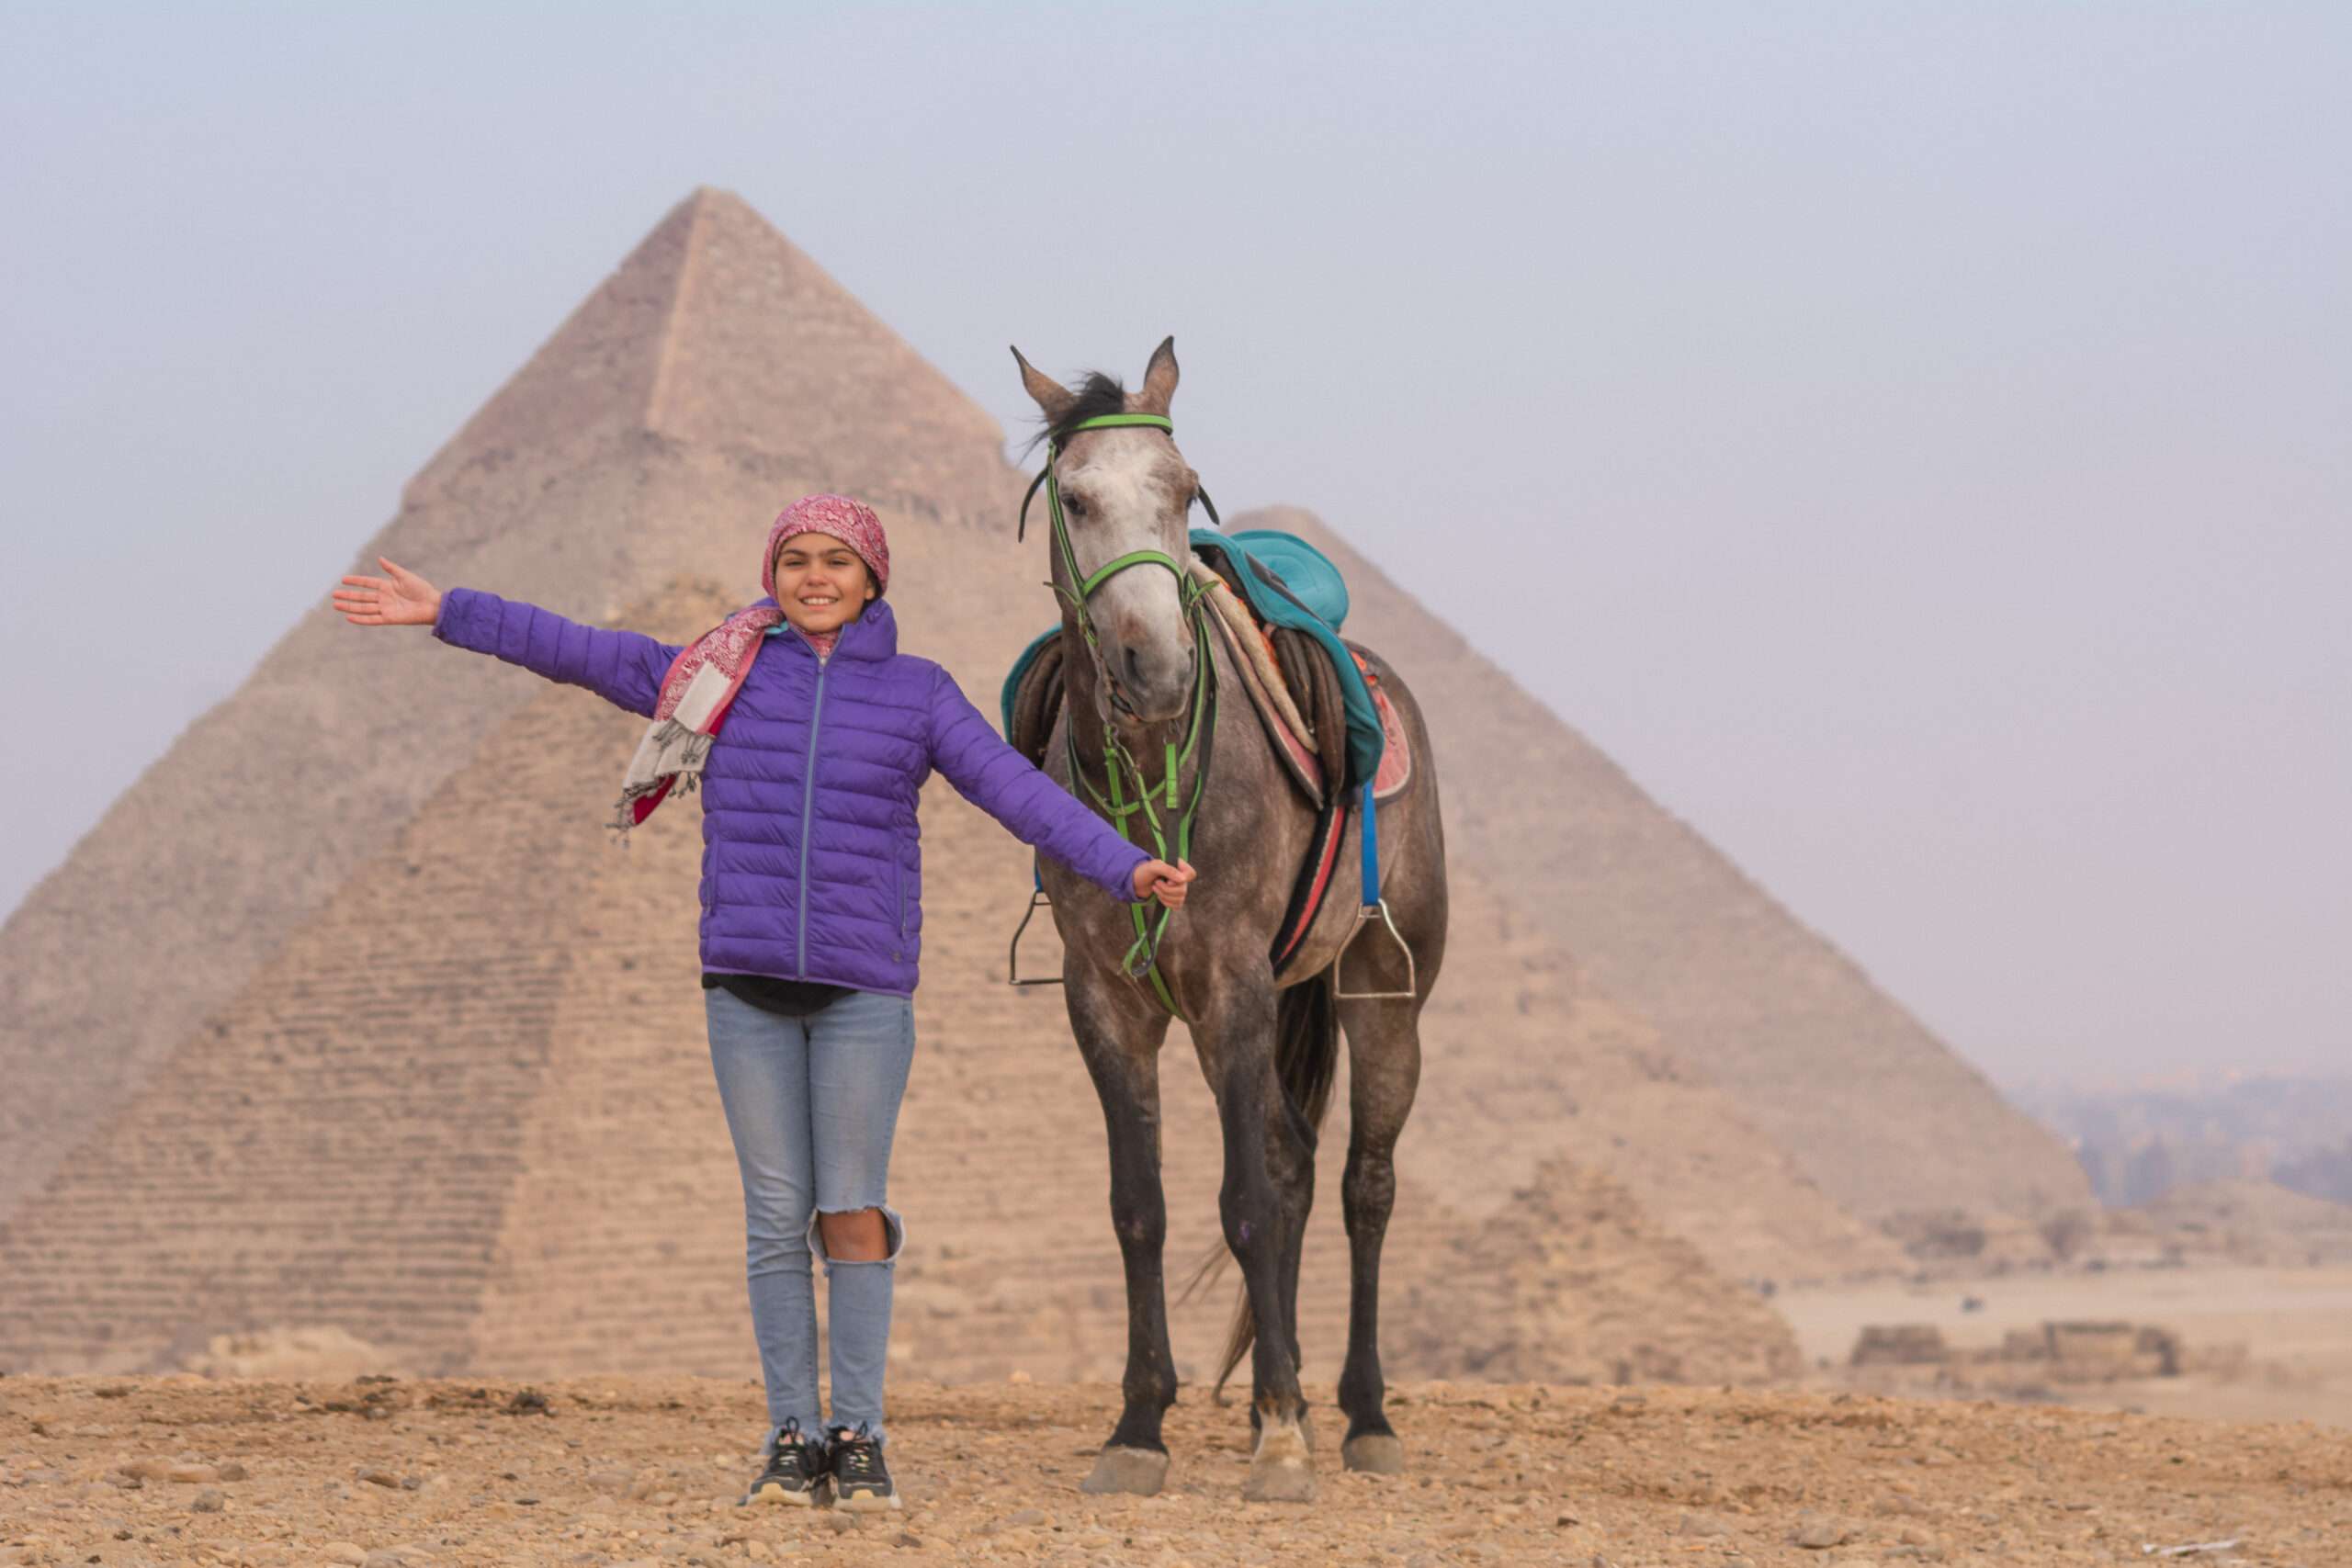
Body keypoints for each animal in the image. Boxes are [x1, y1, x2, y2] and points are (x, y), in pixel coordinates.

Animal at [1007, 338, 1449, 1503]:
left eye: (1183, 488)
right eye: (1076, 498)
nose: (1155, 669)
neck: (1152, 767)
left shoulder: (1234, 987)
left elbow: (1244, 1199)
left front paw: (1289, 1438)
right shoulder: (1104, 1001)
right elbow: (1141, 1206)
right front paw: (1138, 1426)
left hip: (1380, 987)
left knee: (1360, 1184)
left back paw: (1357, 1413)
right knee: (1295, 1160)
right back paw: (1264, 1398)